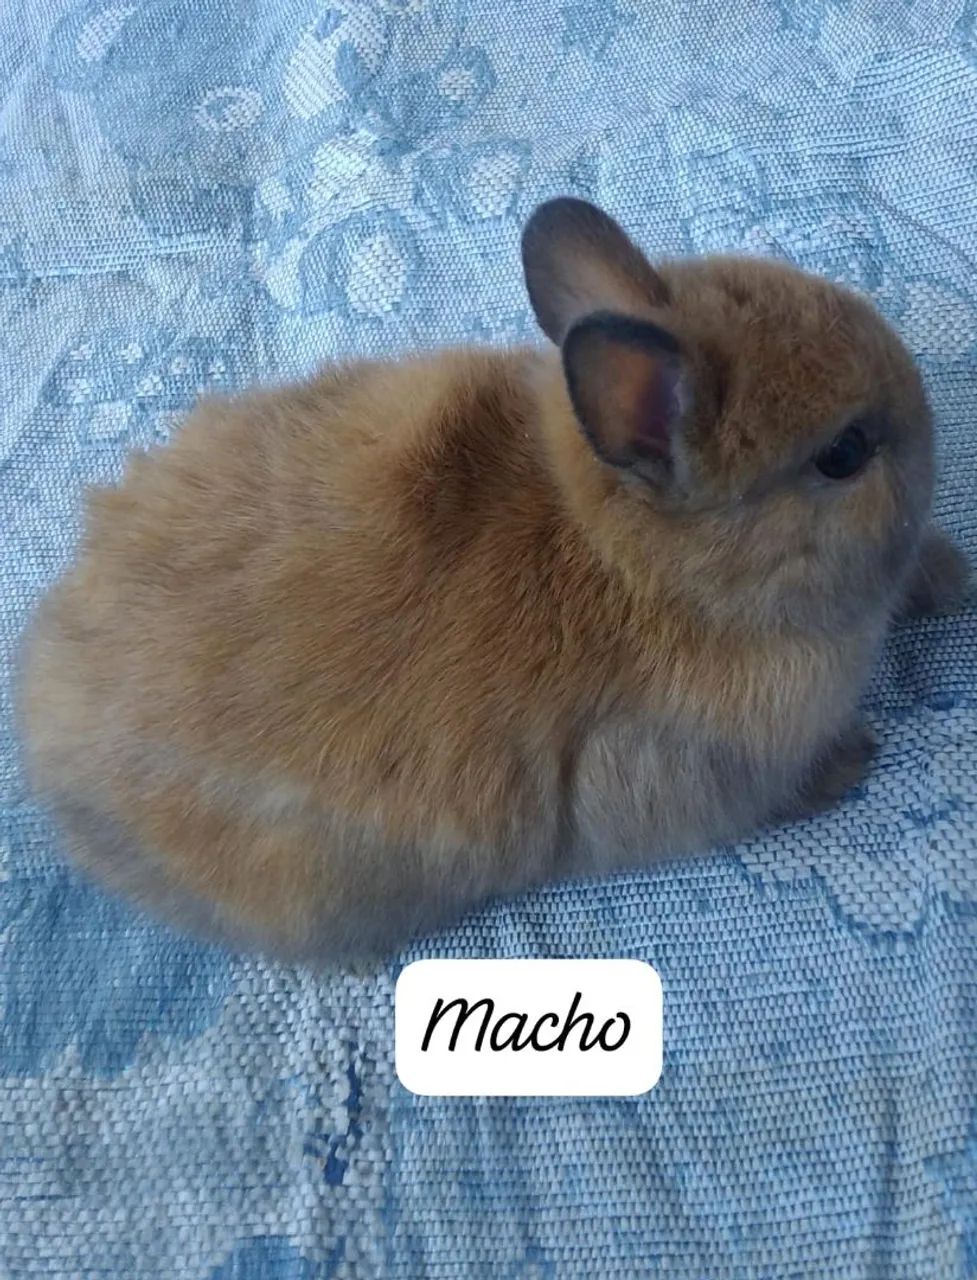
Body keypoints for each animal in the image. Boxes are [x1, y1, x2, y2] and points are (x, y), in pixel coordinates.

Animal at [19, 197, 970, 963]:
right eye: (842, 453)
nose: (929, 424)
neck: (646, 567)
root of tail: (45, 735)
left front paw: (947, 576)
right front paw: (852, 761)